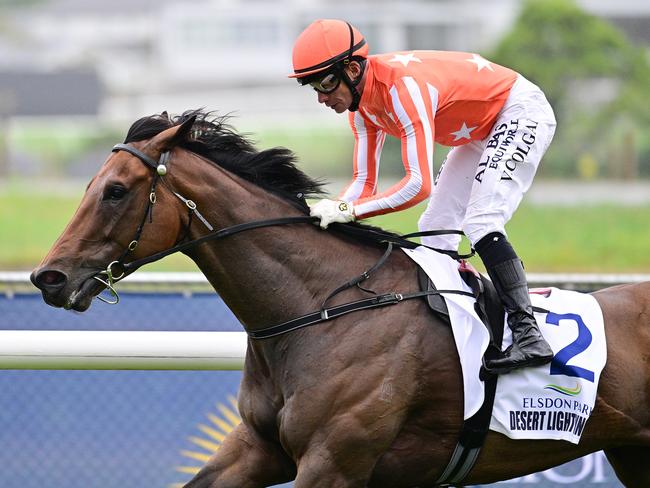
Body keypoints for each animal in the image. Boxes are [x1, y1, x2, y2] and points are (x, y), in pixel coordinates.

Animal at [31, 110, 648, 488]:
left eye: (115, 191)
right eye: (91, 186)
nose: (48, 277)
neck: (319, 308)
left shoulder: (333, 464)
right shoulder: (257, 449)